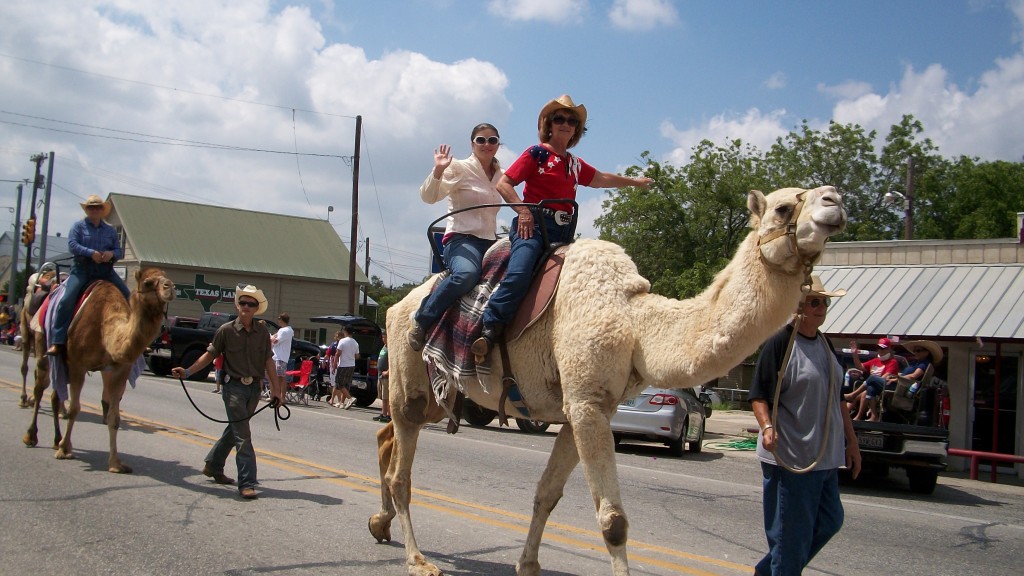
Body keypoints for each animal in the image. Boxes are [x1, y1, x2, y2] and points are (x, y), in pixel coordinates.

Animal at [22, 268, 175, 474]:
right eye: (148, 282)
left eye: (167, 277)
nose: (171, 287)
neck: (105, 329)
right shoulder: (78, 364)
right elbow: (75, 409)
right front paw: (64, 451)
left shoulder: (119, 370)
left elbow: (114, 417)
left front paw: (116, 464)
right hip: (41, 342)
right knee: (40, 386)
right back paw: (31, 436)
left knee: (55, 394)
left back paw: (56, 440)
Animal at [369, 185, 847, 576]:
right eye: (783, 207)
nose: (836, 201)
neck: (634, 321)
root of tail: (398, 306)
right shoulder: (587, 404)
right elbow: (613, 522)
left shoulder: (585, 406)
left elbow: (547, 494)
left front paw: (529, 565)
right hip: (411, 379)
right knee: (401, 470)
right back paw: (418, 559)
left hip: (437, 394)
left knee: (387, 438)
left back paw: (380, 524)